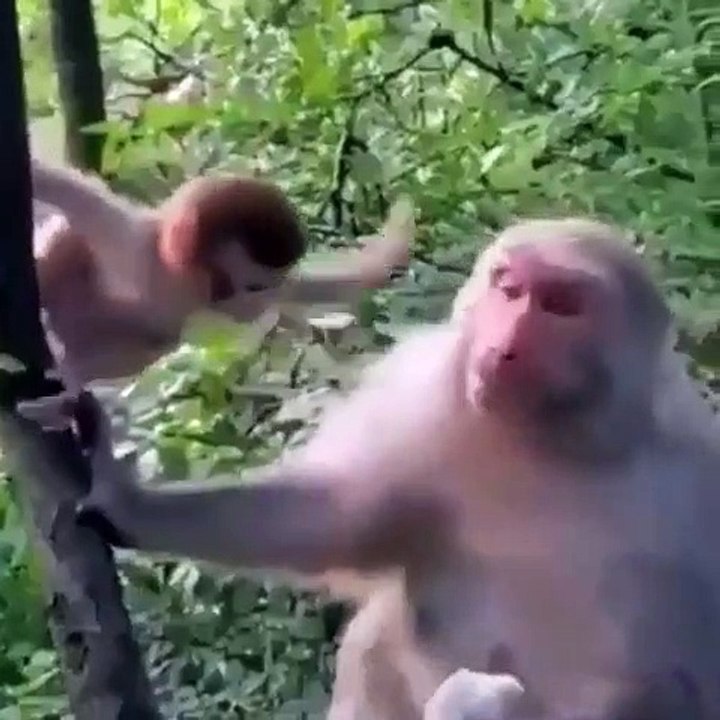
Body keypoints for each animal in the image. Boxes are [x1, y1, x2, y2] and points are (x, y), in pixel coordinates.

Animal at [30, 160, 413, 389]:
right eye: (252, 285)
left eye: (261, 288)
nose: (254, 305)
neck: (183, 285)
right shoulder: (128, 241)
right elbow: (63, 192)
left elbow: (347, 281)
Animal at [71, 217, 720, 719]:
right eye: (509, 289)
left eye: (560, 305)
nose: (507, 342)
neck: (556, 442)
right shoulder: (425, 396)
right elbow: (336, 514)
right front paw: (129, 503)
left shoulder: (698, 472)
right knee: (378, 641)